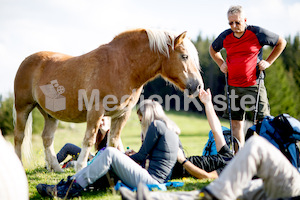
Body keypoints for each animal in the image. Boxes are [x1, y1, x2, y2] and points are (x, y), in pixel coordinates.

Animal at [14, 27, 204, 172]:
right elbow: (89, 139)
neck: (122, 66)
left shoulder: (121, 115)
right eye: (185, 56)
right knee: (19, 137)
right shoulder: (96, 111)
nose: (198, 86)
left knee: (47, 138)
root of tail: (26, 60)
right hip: (23, 108)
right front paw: (81, 166)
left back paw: (56, 168)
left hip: (50, 115)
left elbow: (113, 141)